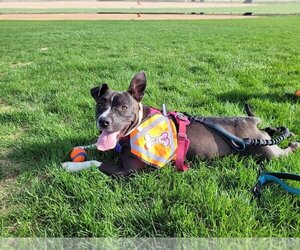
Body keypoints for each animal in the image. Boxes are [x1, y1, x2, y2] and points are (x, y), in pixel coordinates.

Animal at [89, 71, 300, 176]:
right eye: (101, 103)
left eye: (123, 107)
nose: (103, 121)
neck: (139, 123)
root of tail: (250, 120)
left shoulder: (126, 169)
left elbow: (94, 163)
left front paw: (79, 164)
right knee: (271, 130)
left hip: (268, 153)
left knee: (283, 151)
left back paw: (294, 143)